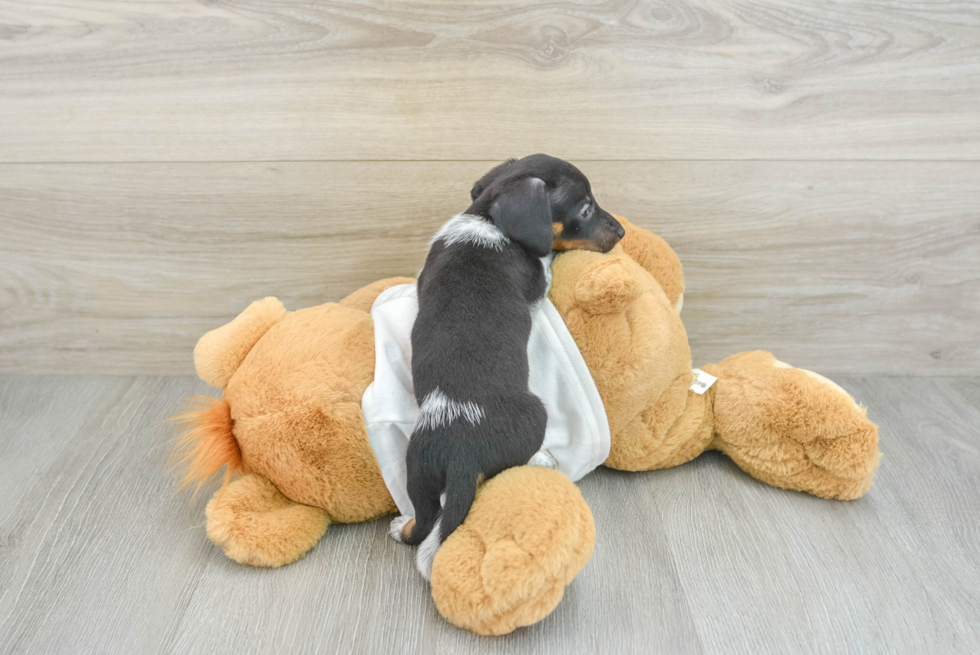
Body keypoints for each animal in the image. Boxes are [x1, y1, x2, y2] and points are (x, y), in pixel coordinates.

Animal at [388, 154, 624, 580]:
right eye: (585, 208)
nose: (623, 231)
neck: (488, 220)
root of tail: (463, 454)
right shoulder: (539, 281)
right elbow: (546, 262)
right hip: (536, 415)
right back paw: (542, 458)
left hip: (420, 471)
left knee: (426, 522)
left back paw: (403, 527)